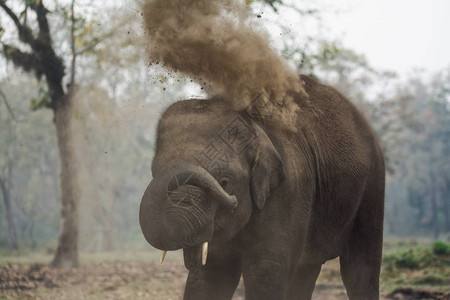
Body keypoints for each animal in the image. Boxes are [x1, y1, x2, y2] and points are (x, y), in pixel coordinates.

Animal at [140, 74, 384, 298]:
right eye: (154, 172)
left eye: (225, 182)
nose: (231, 200)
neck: (253, 125)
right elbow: (210, 276)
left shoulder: (290, 188)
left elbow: (266, 271)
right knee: (307, 269)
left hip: (372, 183)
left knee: (360, 270)